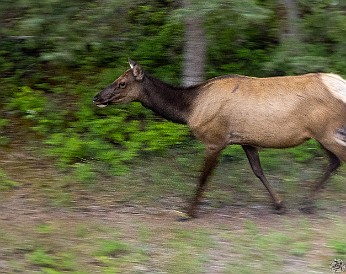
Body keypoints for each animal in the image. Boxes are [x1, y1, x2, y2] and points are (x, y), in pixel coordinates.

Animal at [94, 59, 346, 218]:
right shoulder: (245, 139)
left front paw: (187, 212)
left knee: (339, 159)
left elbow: (202, 178)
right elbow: (258, 171)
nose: (97, 97)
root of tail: (340, 83)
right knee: (334, 162)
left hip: (327, 131)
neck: (189, 110)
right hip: (322, 134)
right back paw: (306, 203)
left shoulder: (214, 140)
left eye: (122, 83)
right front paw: (279, 205)